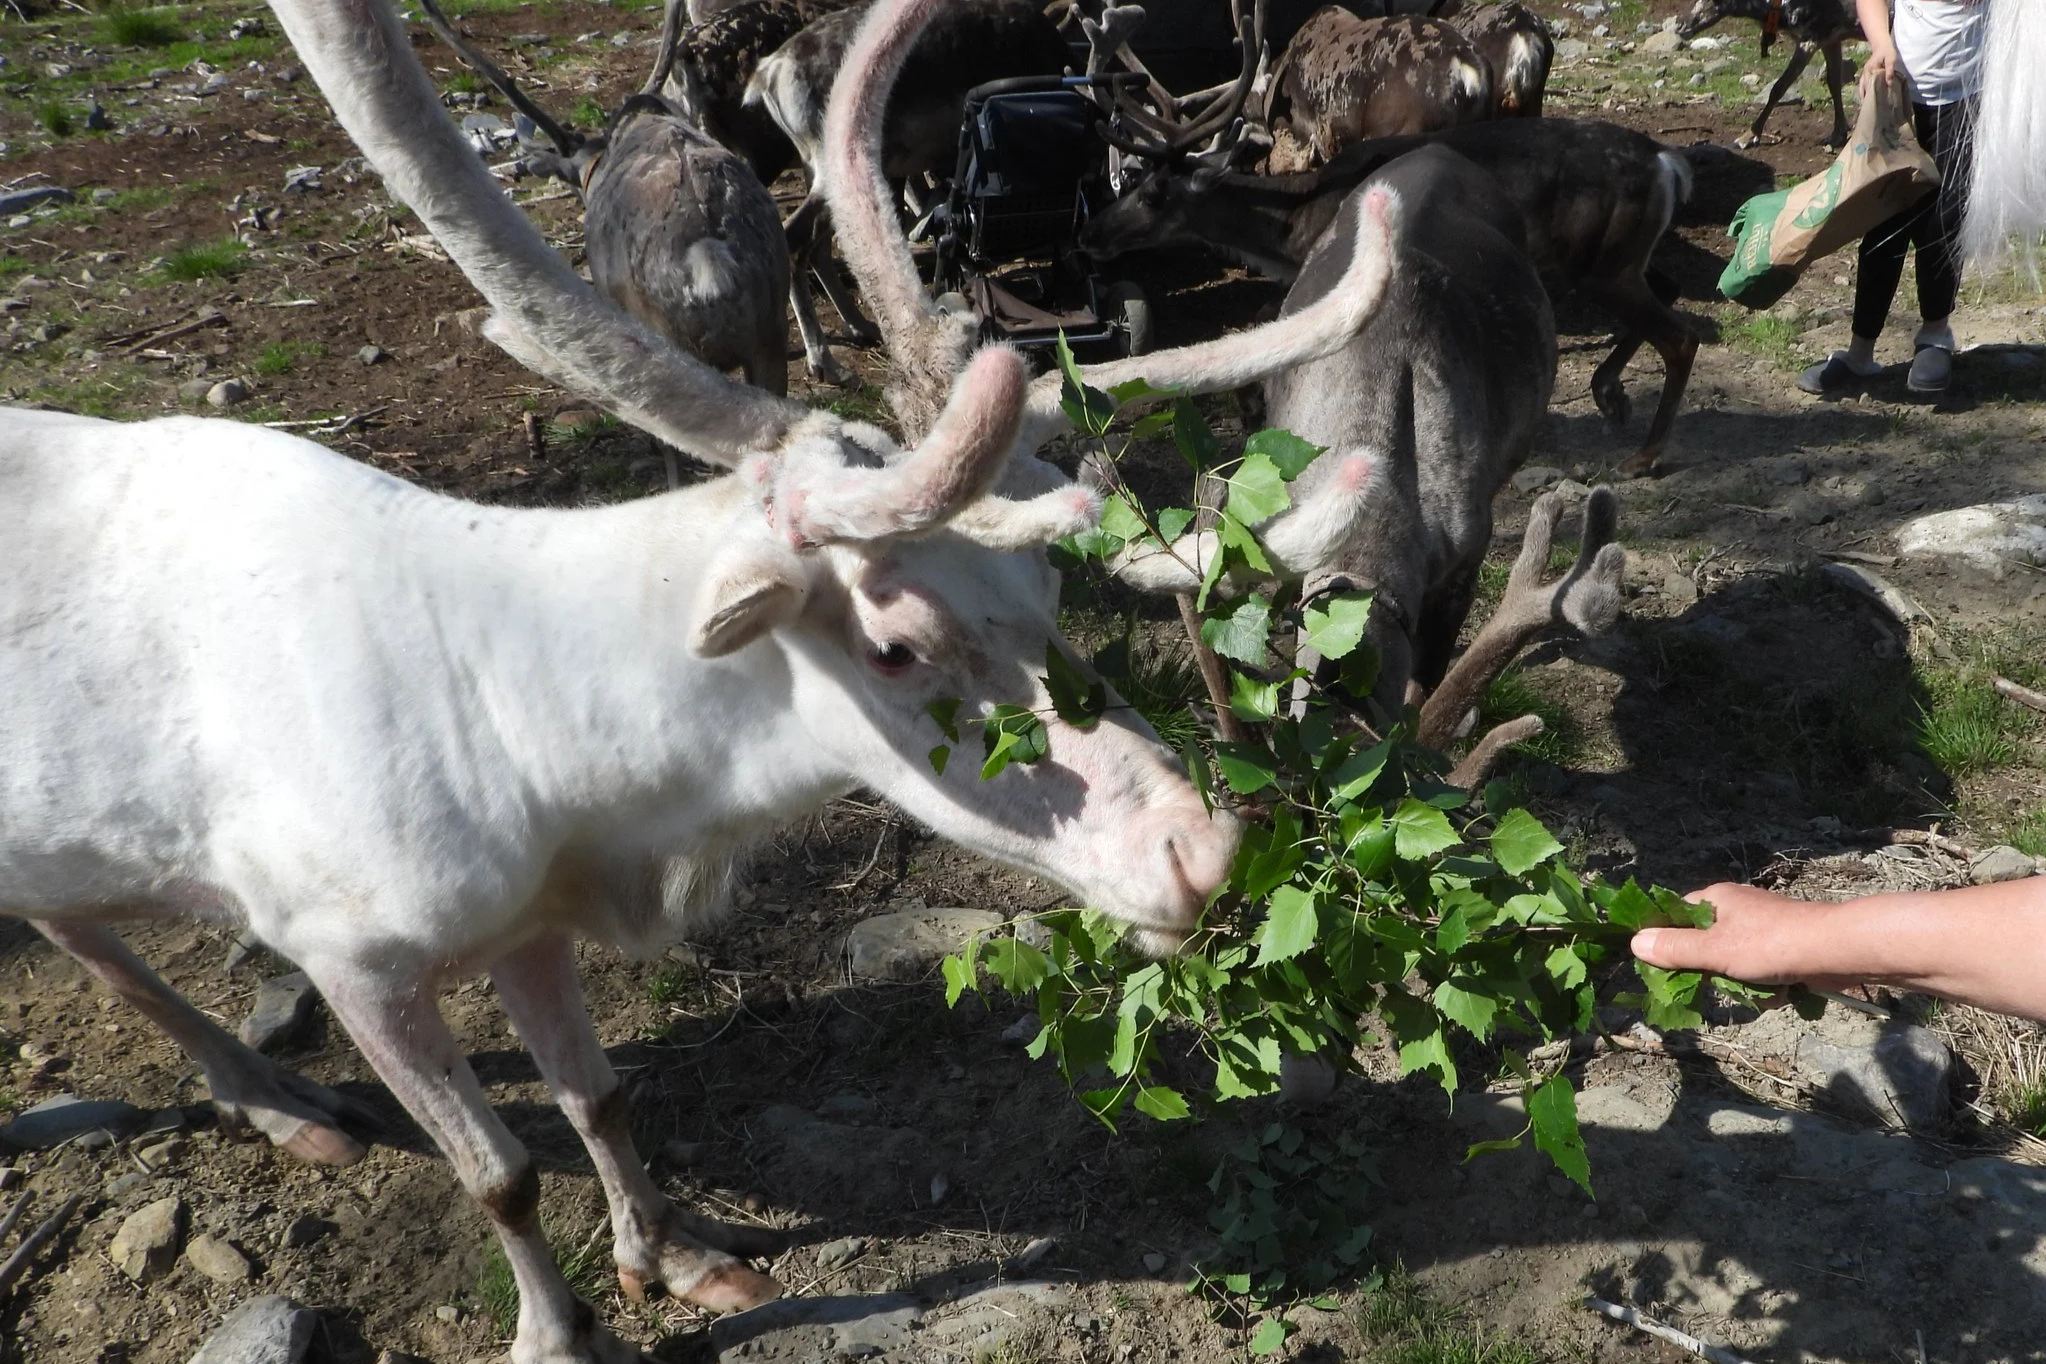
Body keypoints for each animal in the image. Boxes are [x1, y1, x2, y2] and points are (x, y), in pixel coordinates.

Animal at [1081, 116, 1701, 477]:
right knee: (1672, 291)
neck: (1292, 225)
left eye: (1155, 194)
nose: (1093, 234)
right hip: (1620, 260)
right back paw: (1610, 394)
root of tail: (1667, 162)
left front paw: (1256, 416)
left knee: (1683, 334)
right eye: (1131, 182)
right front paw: (1252, 414)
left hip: (1603, 265)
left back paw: (1642, 456)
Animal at [1676, 0, 1861, 148]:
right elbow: (1834, 83)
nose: (1681, 25)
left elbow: (1779, 87)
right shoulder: (1830, 39)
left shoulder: (1810, 38)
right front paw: (1837, 135)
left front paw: (1748, 137)